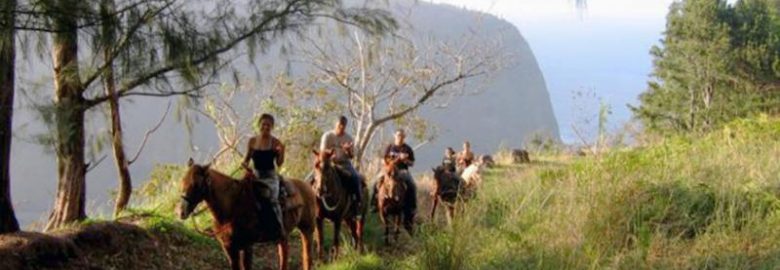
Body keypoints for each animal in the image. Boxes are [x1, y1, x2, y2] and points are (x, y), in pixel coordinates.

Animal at [178, 158, 318, 270]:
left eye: (196, 184)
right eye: (182, 181)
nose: (181, 211)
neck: (232, 207)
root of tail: (307, 186)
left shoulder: (247, 245)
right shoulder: (229, 247)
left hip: (308, 229)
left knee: (307, 258)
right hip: (283, 237)